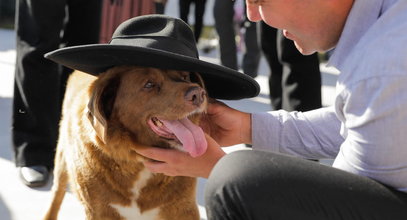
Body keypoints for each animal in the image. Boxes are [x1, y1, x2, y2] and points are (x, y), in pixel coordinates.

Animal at [43, 65, 207, 220]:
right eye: (149, 84)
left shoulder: (184, 209)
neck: (138, 162)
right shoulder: (98, 212)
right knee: (57, 193)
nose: (199, 94)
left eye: (185, 76)